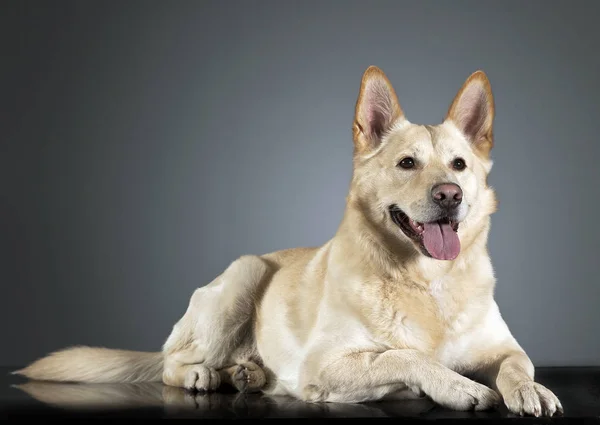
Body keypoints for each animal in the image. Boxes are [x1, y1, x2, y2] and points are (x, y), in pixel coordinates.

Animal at [16, 67, 564, 418]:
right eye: (407, 163)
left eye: (459, 165)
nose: (449, 195)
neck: (428, 284)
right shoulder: (326, 364)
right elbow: (403, 357)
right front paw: (455, 386)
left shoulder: (502, 347)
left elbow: (518, 363)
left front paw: (530, 389)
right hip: (246, 271)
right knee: (173, 362)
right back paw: (204, 375)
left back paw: (248, 375)